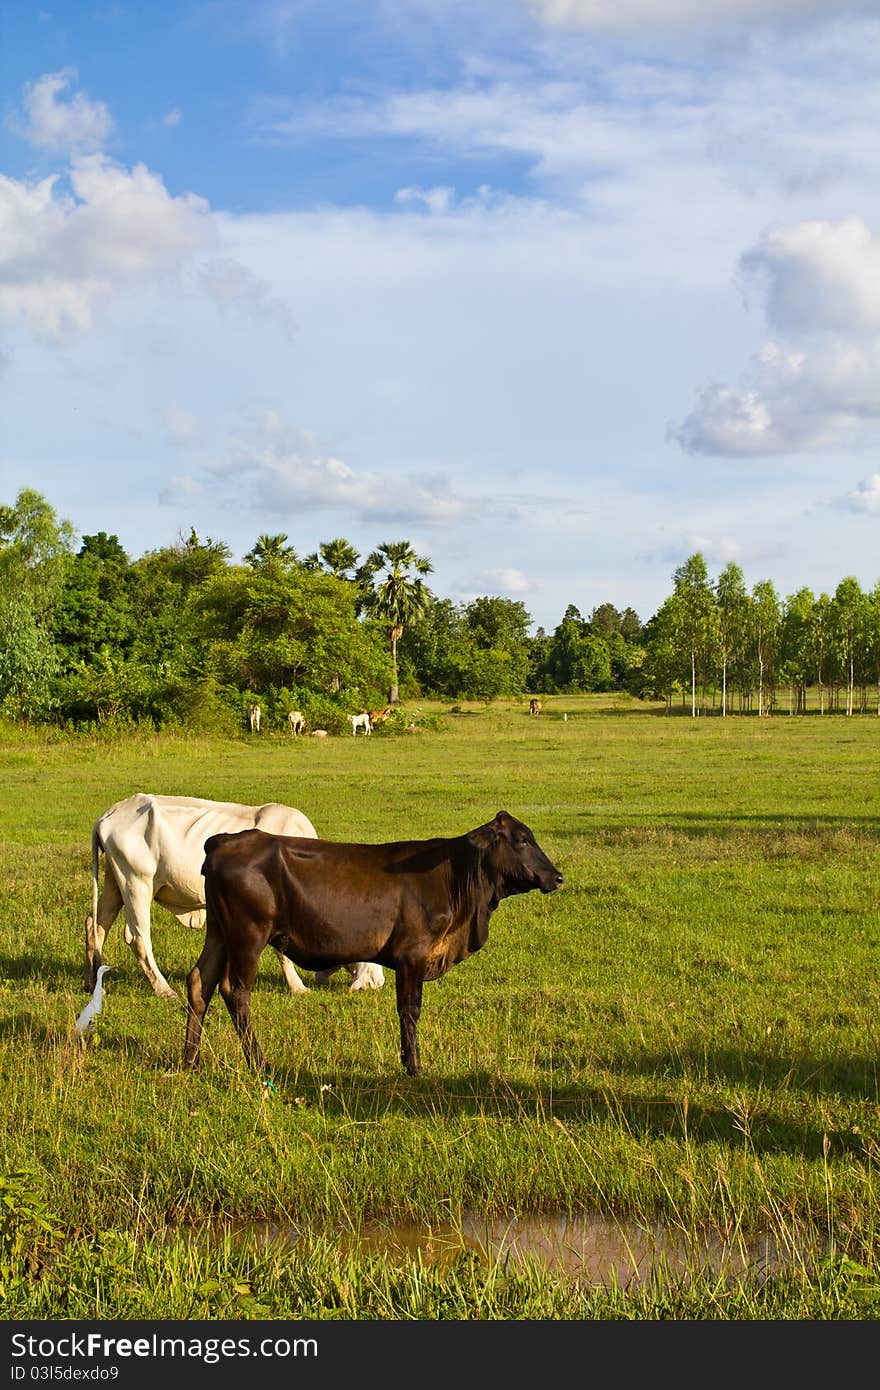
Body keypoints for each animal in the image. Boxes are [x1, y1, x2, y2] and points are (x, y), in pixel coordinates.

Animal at [84, 800, 383, 1006]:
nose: (378, 982)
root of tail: (109, 815)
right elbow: (283, 954)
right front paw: (297, 987)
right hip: (137, 883)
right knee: (137, 937)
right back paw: (162, 988)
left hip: (115, 881)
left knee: (95, 927)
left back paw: (92, 981)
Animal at [183, 811, 561, 1078]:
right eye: (521, 840)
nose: (557, 877)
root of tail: (225, 841)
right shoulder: (412, 955)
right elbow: (410, 1009)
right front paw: (414, 1066)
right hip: (247, 935)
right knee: (234, 990)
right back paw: (259, 1063)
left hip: (219, 931)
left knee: (200, 982)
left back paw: (191, 1061)